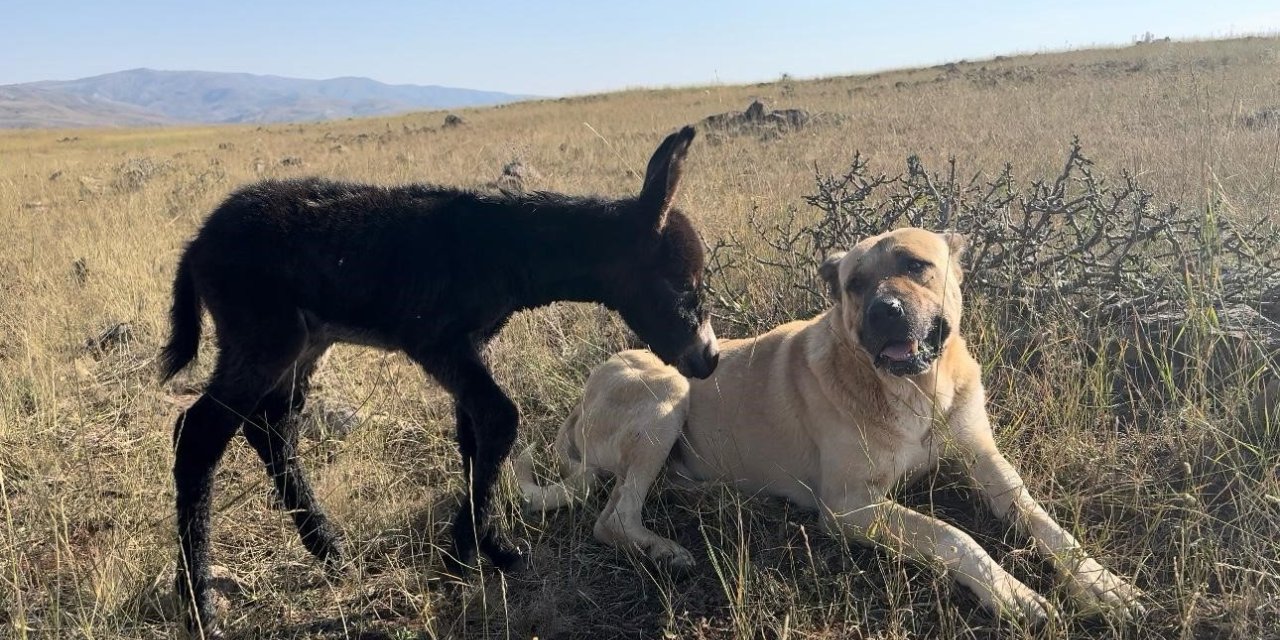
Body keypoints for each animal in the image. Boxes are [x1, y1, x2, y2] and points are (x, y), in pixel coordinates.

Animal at [160, 124, 716, 634]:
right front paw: (459, 558)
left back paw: (328, 548)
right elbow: (499, 420)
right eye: (683, 285)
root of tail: (197, 243)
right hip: (263, 337)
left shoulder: (470, 348)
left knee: (271, 429)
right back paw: (201, 608)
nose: (707, 360)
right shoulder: (439, 344)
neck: (507, 247)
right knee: (198, 435)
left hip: (301, 345)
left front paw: (493, 549)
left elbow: (474, 435)